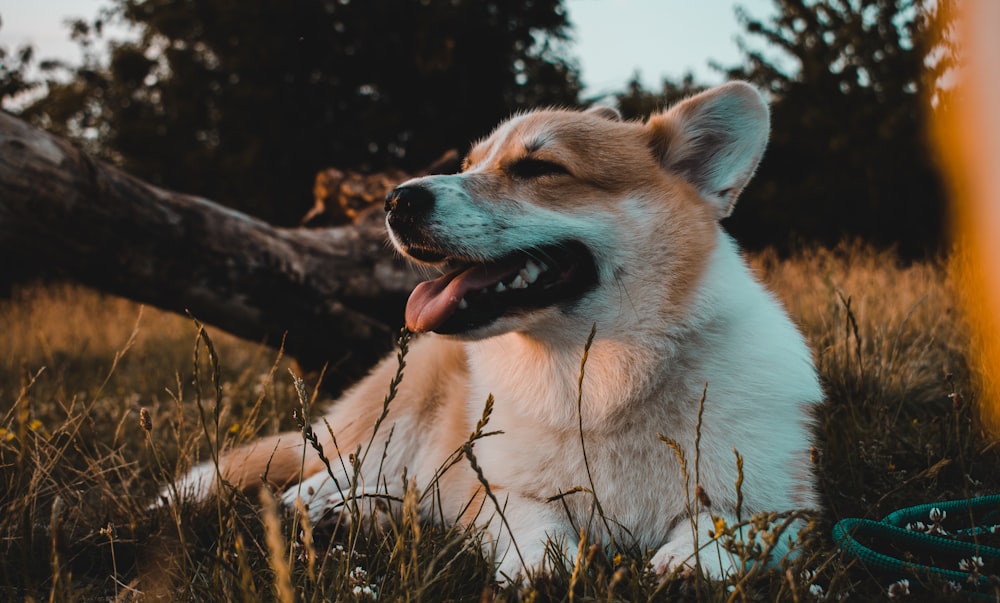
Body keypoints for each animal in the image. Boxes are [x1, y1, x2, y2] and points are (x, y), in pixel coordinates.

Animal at [164, 82, 820, 584]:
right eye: (468, 164)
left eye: (540, 168)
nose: (395, 200)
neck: (602, 383)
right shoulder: (493, 488)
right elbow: (533, 522)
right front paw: (542, 565)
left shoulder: (784, 505)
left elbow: (721, 525)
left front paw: (690, 565)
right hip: (395, 417)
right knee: (340, 465)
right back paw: (322, 505)